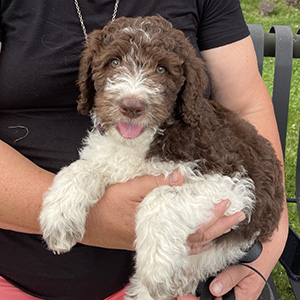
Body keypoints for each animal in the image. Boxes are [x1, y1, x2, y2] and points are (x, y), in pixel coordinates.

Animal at [39, 15, 284, 300]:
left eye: (161, 69)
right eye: (114, 62)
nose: (132, 106)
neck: (145, 138)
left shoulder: (235, 185)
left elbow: (163, 196)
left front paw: (159, 269)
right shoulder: (108, 157)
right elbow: (80, 169)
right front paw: (58, 219)